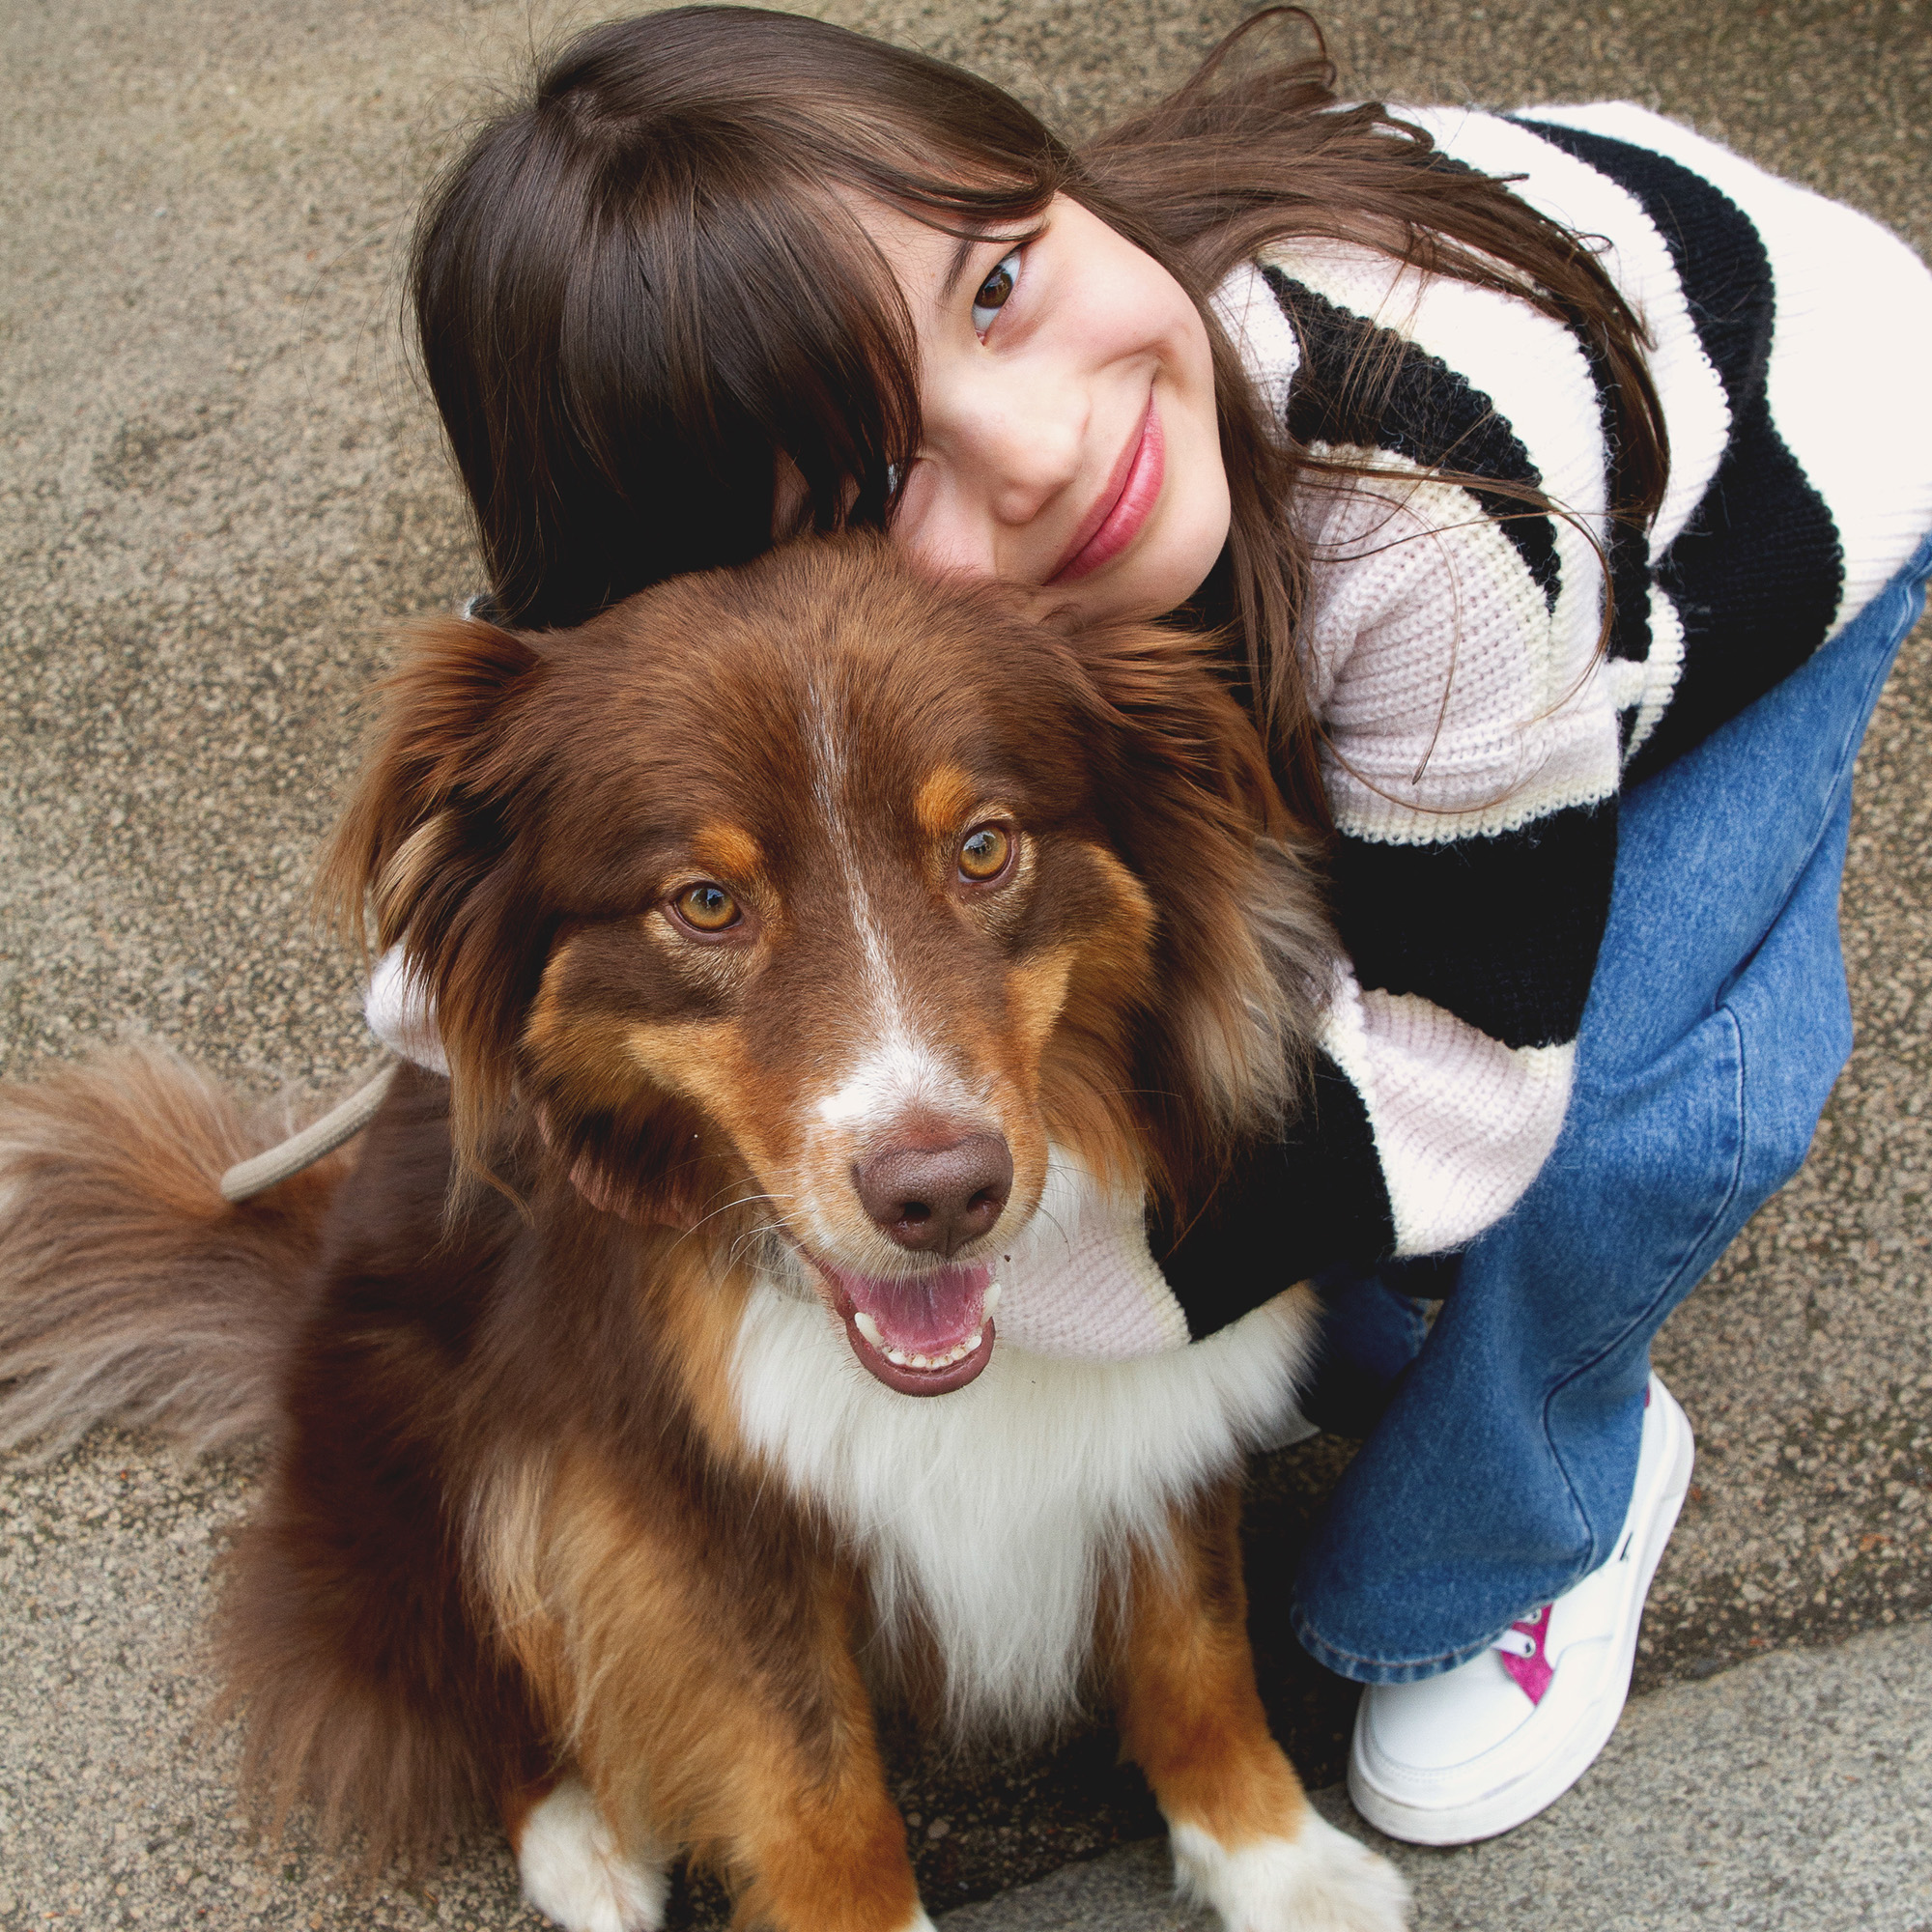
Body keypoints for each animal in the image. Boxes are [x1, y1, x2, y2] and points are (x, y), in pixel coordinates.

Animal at [0, 537, 1406, 1924]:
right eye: (707, 902)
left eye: (984, 847)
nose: (943, 1195)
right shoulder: (686, 1502)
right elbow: (812, 1781)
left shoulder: (1170, 1396)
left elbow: (1198, 1645)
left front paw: (1277, 1861)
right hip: (440, 1437)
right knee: (486, 1668)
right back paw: (585, 1843)